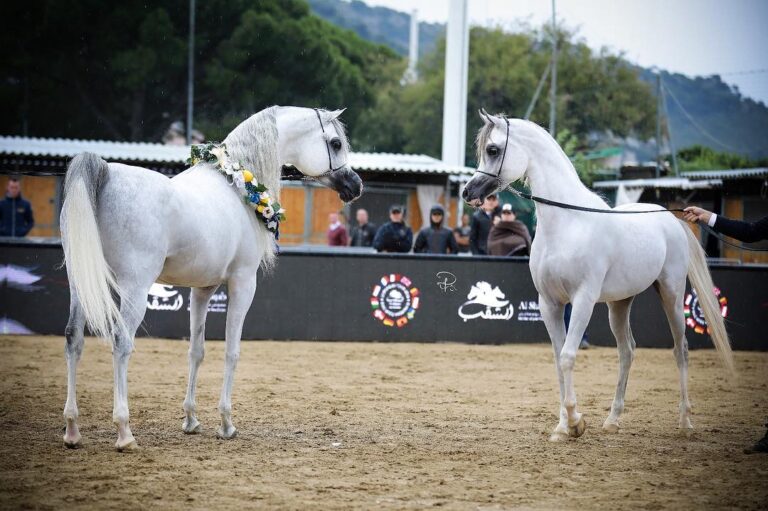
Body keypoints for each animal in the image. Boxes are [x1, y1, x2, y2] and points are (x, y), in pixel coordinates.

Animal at [61, 105, 362, 452]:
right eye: (336, 143)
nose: (355, 185)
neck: (239, 185)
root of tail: (106, 174)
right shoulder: (243, 284)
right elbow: (232, 351)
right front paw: (226, 422)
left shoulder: (202, 289)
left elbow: (197, 350)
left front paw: (191, 419)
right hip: (135, 289)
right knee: (121, 343)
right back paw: (124, 431)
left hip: (80, 287)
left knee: (73, 338)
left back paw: (72, 429)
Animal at [462, 111, 732, 444]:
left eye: (493, 150)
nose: (468, 193)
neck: (568, 223)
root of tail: (670, 217)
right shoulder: (549, 304)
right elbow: (558, 360)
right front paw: (562, 427)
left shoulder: (583, 300)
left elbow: (568, 356)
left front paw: (576, 423)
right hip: (620, 304)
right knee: (627, 351)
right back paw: (613, 420)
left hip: (671, 292)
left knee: (680, 349)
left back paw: (684, 422)